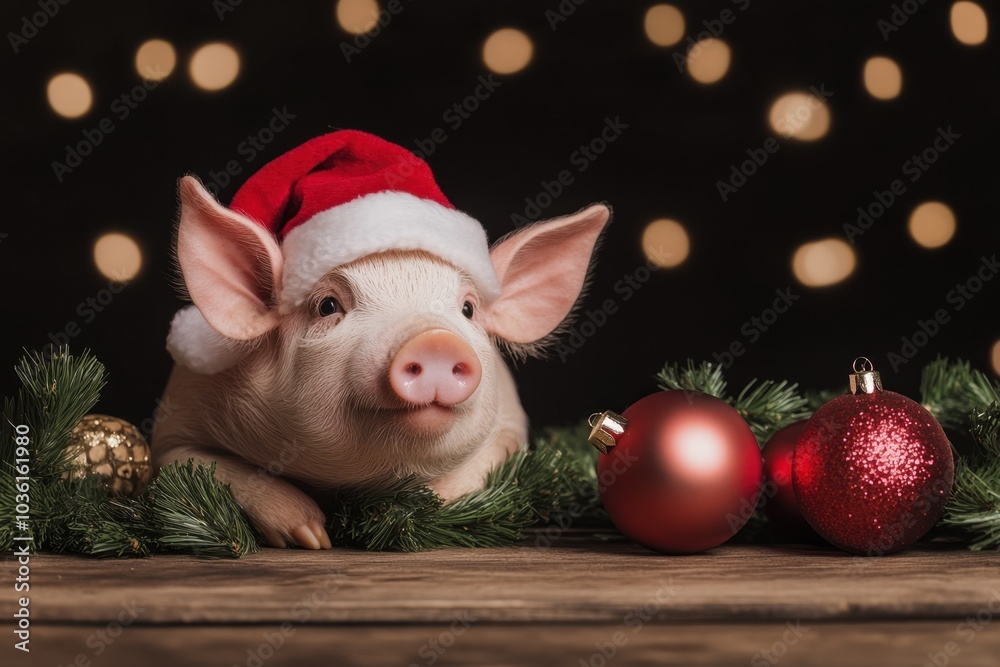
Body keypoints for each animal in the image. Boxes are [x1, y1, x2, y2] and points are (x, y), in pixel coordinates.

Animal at [152, 131, 610, 549]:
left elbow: (484, 462)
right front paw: (313, 537)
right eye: (327, 305)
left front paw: (432, 506)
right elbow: (192, 465)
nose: (435, 340)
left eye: (467, 309)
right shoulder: (175, 426)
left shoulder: (511, 423)